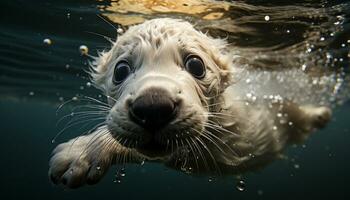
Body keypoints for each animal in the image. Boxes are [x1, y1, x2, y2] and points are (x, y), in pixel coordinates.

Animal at [48, 18, 330, 188]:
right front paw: (84, 151)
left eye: (196, 65)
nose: (153, 107)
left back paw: (321, 114)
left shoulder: (230, 139)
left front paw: (81, 153)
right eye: (120, 70)